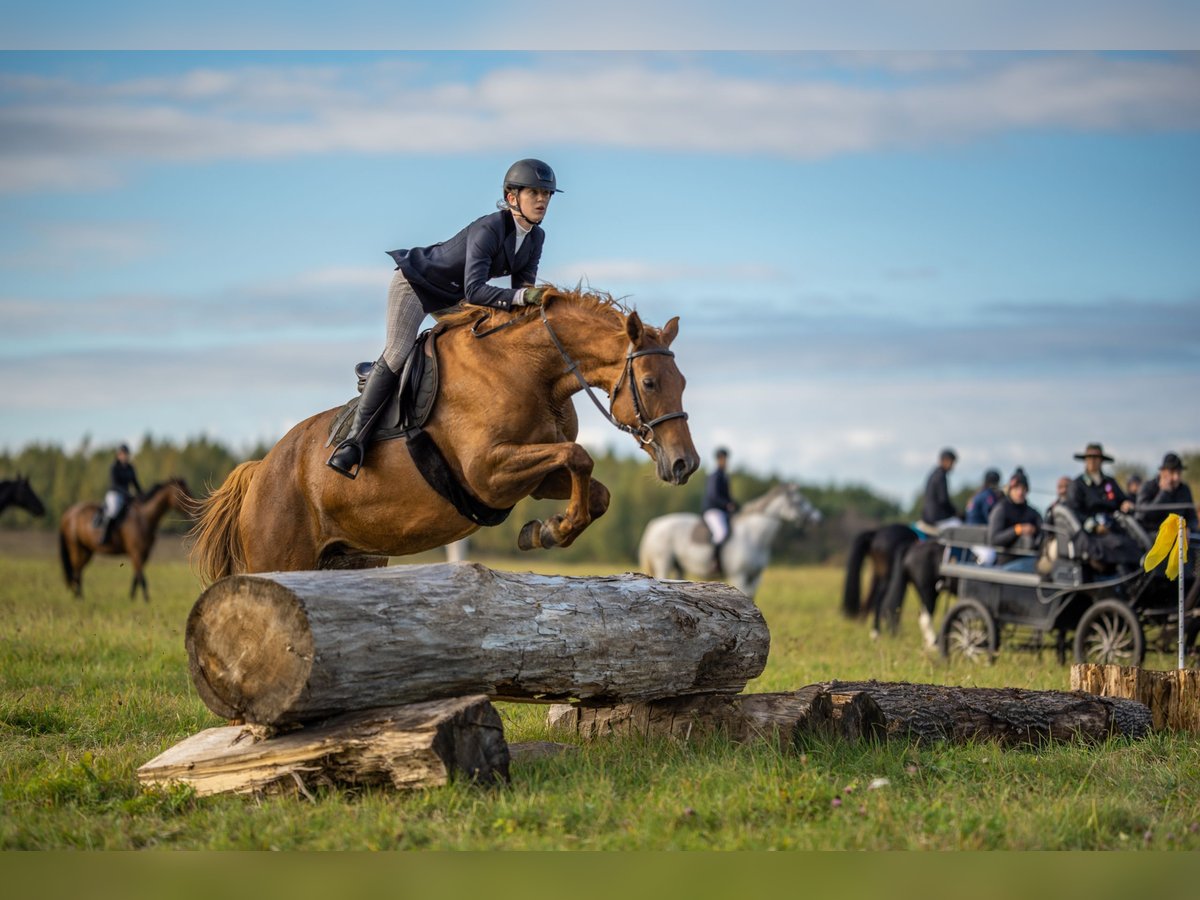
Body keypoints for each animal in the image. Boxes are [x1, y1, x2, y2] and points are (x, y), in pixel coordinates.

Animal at [60, 482, 195, 602]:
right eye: (183, 493)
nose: (193, 513)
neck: (144, 518)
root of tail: (69, 513)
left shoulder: (144, 553)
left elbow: (136, 576)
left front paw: (132, 598)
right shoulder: (136, 552)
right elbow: (141, 577)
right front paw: (146, 600)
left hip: (86, 550)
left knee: (78, 572)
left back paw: (78, 597)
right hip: (76, 549)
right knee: (76, 572)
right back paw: (79, 598)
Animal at [183, 290, 700, 585]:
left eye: (682, 382)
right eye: (650, 382)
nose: (685, 464)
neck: (533, 371)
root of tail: (259, 471)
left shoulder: (531, 476)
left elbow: (596, 487)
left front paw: (546, 529)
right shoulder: (488, 473)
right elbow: (579, 456)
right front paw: (551, 530)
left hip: (350, 560)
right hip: (279, 559)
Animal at [638, 482, 825, 602]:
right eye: (799, 502)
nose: (817, 519)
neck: (754, 536)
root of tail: (655, 524)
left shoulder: (756, 577)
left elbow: (751, 597)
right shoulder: (739, 575)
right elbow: (745, 595)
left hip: (679, 567)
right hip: (664, 563)